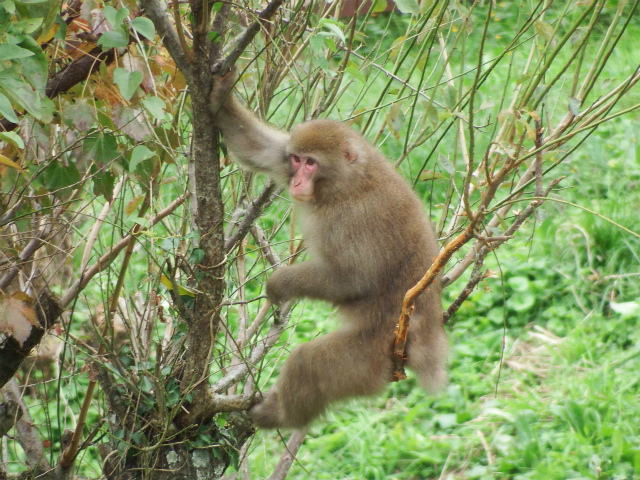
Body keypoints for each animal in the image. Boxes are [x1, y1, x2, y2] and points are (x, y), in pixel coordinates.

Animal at [212, 73, 448, 430]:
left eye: (312, 163)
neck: (345, 183)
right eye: (296, 160)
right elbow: (256, 147)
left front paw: (280, 284)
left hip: (371, 355)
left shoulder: (356, 218)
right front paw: (220, 90)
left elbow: (353, 279)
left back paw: (280, 415)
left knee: (309, 362)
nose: (296, 182)